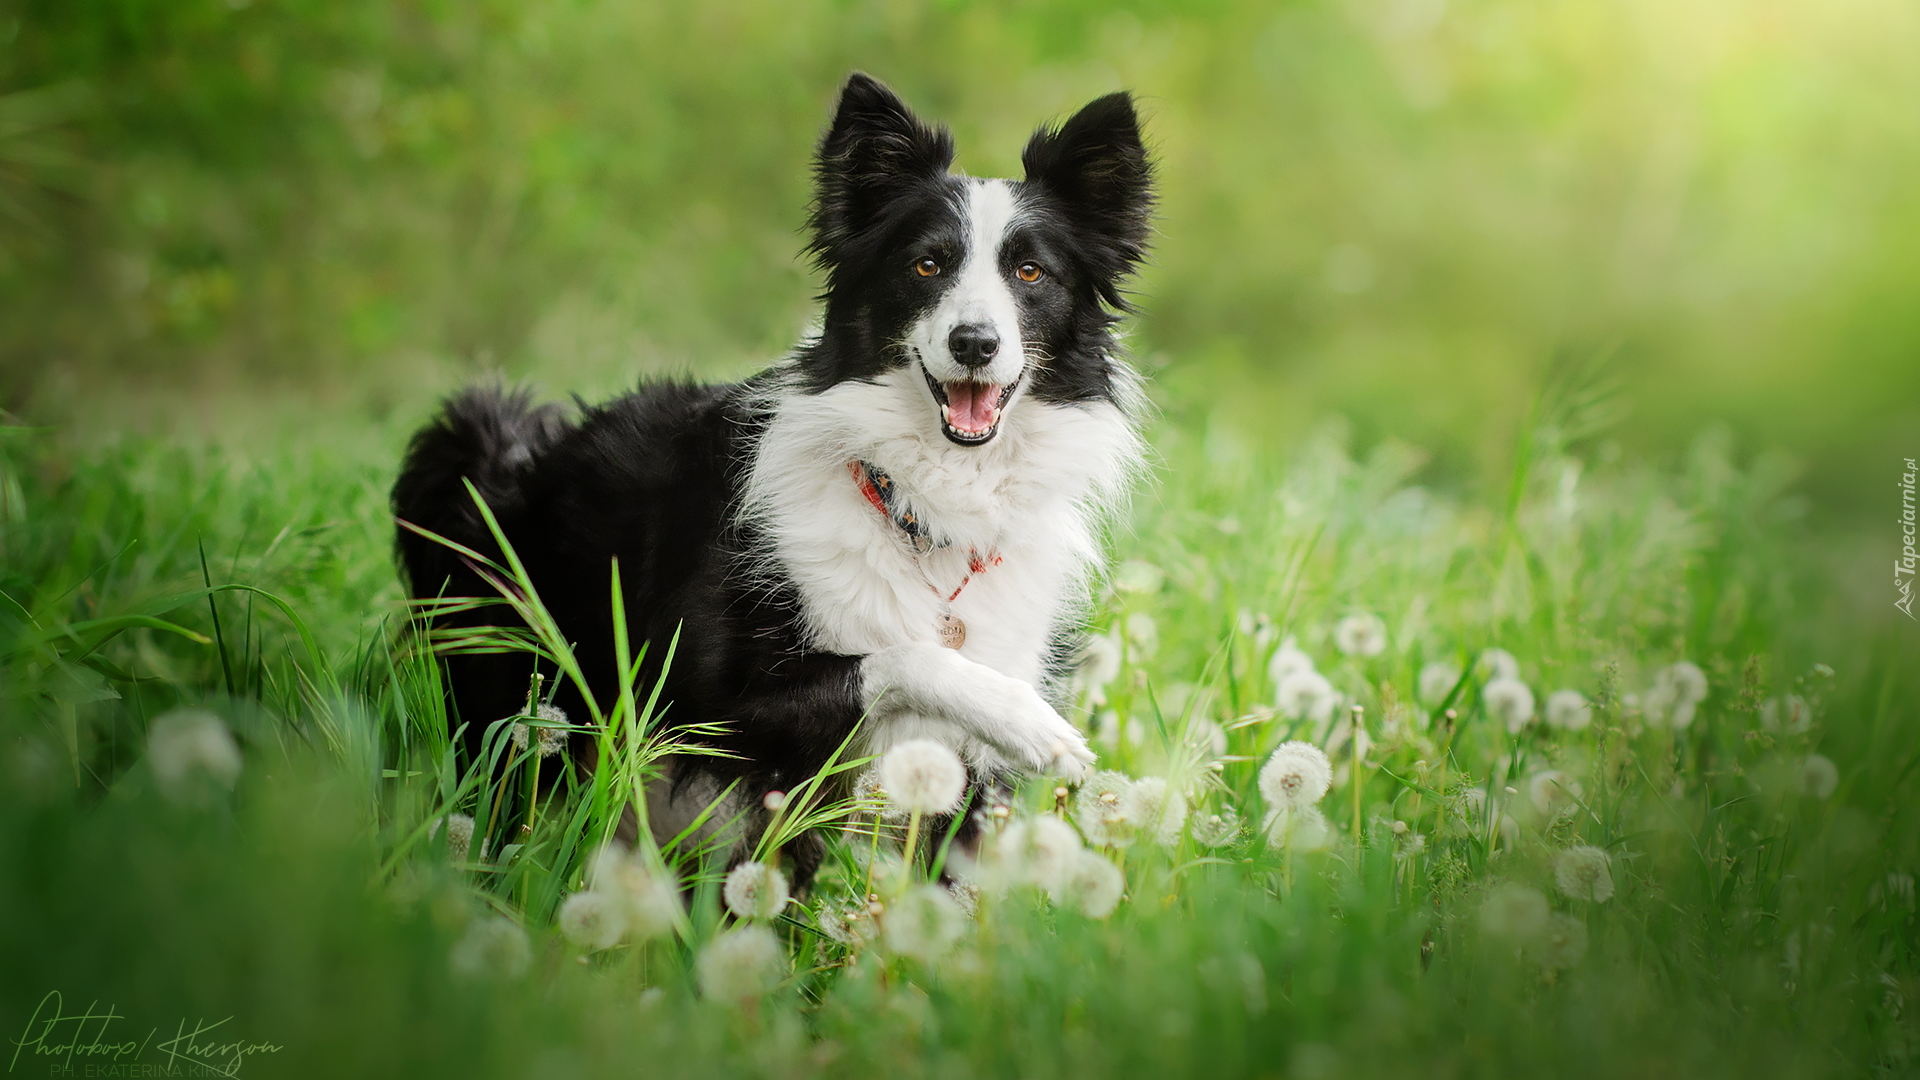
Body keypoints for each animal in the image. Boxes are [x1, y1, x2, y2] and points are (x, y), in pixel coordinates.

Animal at [393, 71, 1152, 868]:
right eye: (927, 265)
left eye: (1031, 272)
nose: (974, 343)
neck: (924, 503)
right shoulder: (715, 711)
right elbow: (901, 655)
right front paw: (1030, 724)